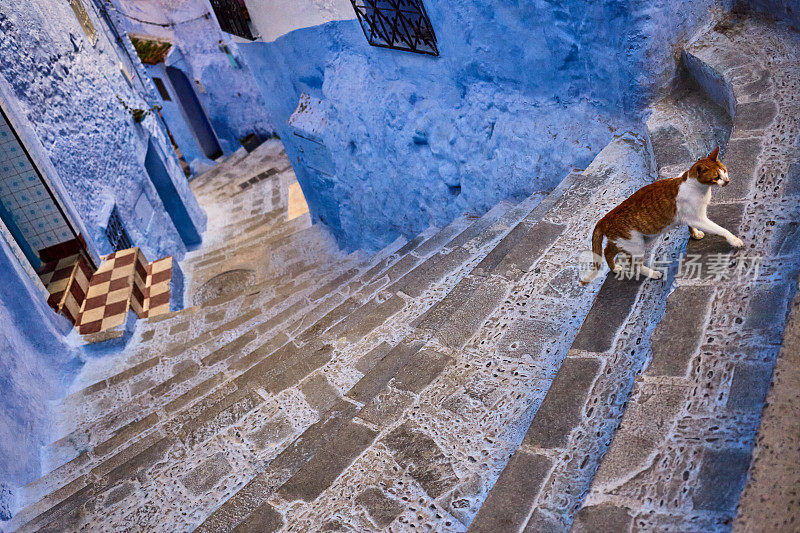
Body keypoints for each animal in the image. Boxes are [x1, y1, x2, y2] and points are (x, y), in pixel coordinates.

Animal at [580, 147, 744, 282]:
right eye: (716, 177)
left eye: (725, 170)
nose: (727, 181)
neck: (698, 187)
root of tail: (605, 217)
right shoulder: (699, 218)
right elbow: (721, 230)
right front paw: (735, 240)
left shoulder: (691, 217)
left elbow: (690, 226)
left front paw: (695, 234)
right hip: (635, 243)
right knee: (634, 265)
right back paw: (653, 273)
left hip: (624, 242)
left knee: (607, 251)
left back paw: (615, 268)